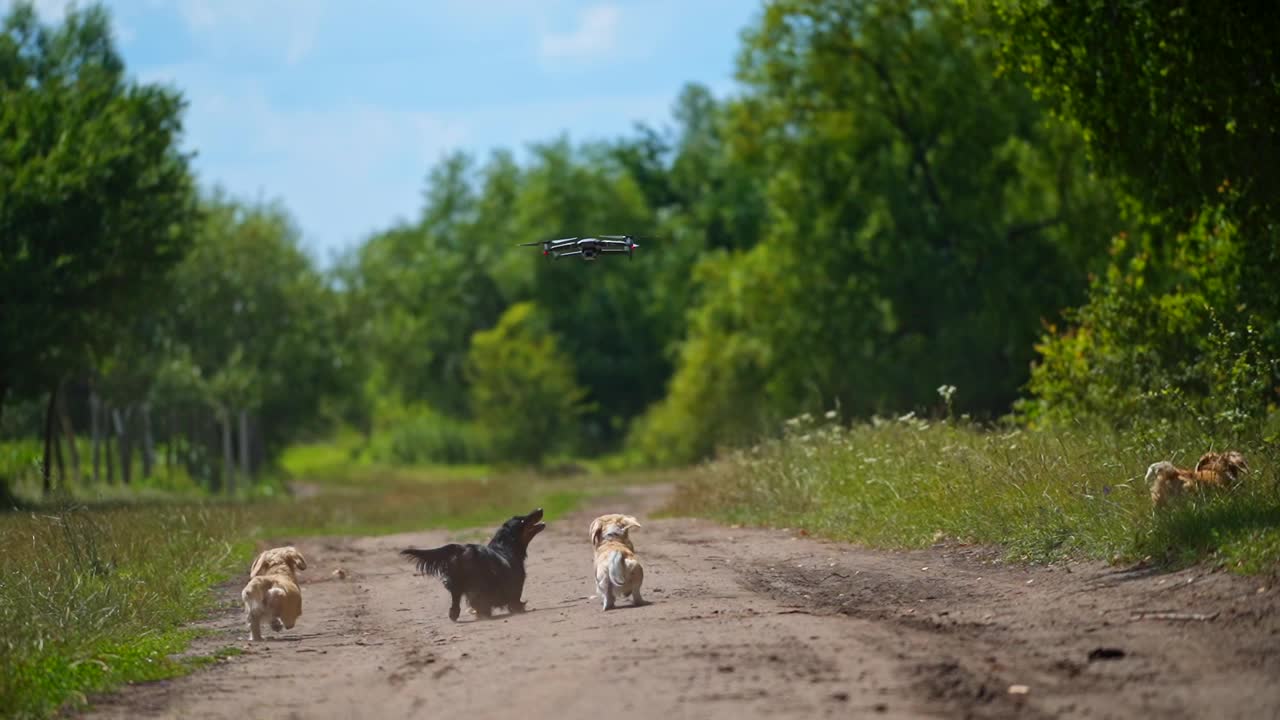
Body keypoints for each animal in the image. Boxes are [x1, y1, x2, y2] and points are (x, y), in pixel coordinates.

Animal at [396, 504, 542, 617]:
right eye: (522, 521)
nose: (540, 509)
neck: (505, 546)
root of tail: (461, 548)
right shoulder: (516, 584)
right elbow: (515, 601)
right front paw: (519, 609)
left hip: (455, 584)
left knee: (455, 602)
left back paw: (455, 614)